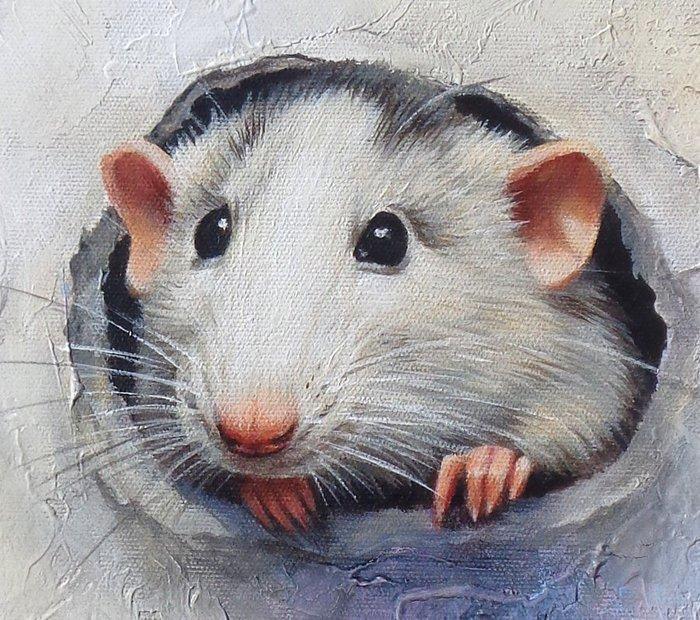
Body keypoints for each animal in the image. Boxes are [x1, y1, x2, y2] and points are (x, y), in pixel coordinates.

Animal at [97, 55, 656, 532]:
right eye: (211, 231)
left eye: (387, 239)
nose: (251, 429)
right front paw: (273, 493)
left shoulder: (583, 342)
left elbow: (593, 416)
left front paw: (487, 464)